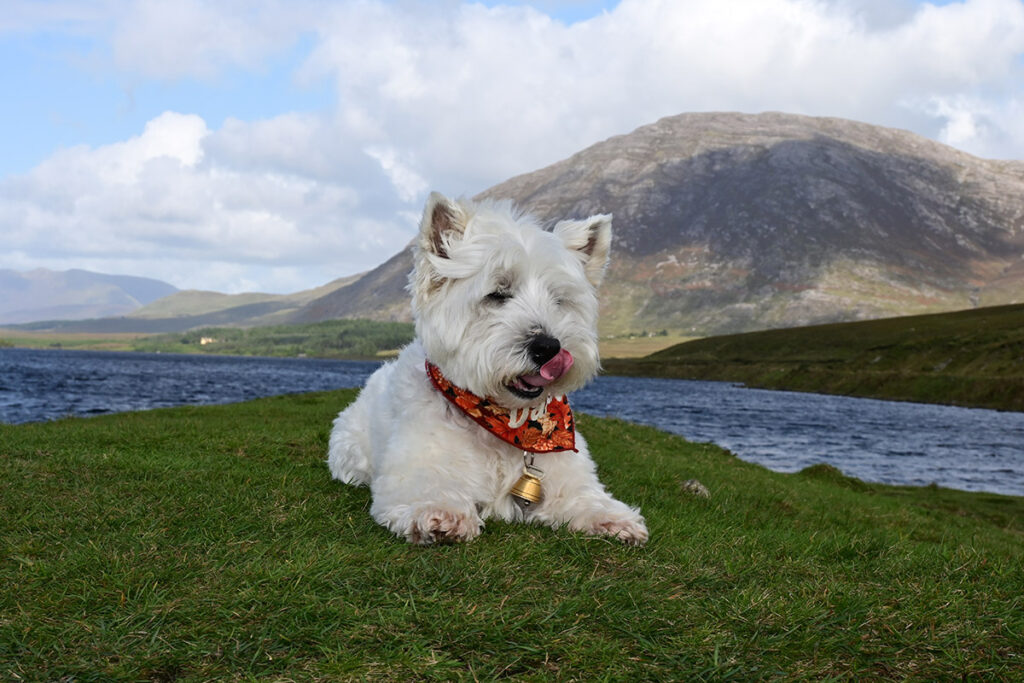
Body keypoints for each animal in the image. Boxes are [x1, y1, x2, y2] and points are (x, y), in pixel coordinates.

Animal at [327, 192, 647, 544]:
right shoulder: (415, 465)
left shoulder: (566, 475)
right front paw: (440, 513)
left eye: (558, 300)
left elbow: (585, 496)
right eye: (497, 294)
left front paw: (612, 518)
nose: (548, 347)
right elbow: (427, 486)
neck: (506, 424)